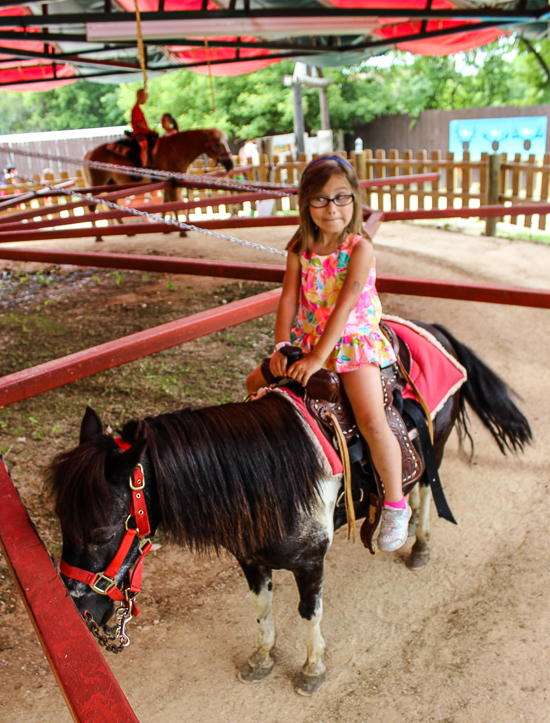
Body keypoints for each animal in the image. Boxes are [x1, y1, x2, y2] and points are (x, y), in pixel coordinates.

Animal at [48, 324, 536, 696]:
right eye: (62, 524)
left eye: (103, 532)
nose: (80, 610)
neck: (264, 474)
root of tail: (435, 331)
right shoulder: (250, 559)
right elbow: (261, 607)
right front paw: (261, 658)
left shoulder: (310, 561)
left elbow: (309, 612)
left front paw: (312, 670)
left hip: (437, 441)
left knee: (425, 491)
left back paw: (418, 545)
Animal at [82, 129, 235, 202]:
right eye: (218, 144)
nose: (231, 163)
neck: (176, 149)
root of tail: (89, 154)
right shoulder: (173, 184)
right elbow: (174, 203)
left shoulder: (167, 184)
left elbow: (166, 203)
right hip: (98, 184)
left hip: (111, 183)